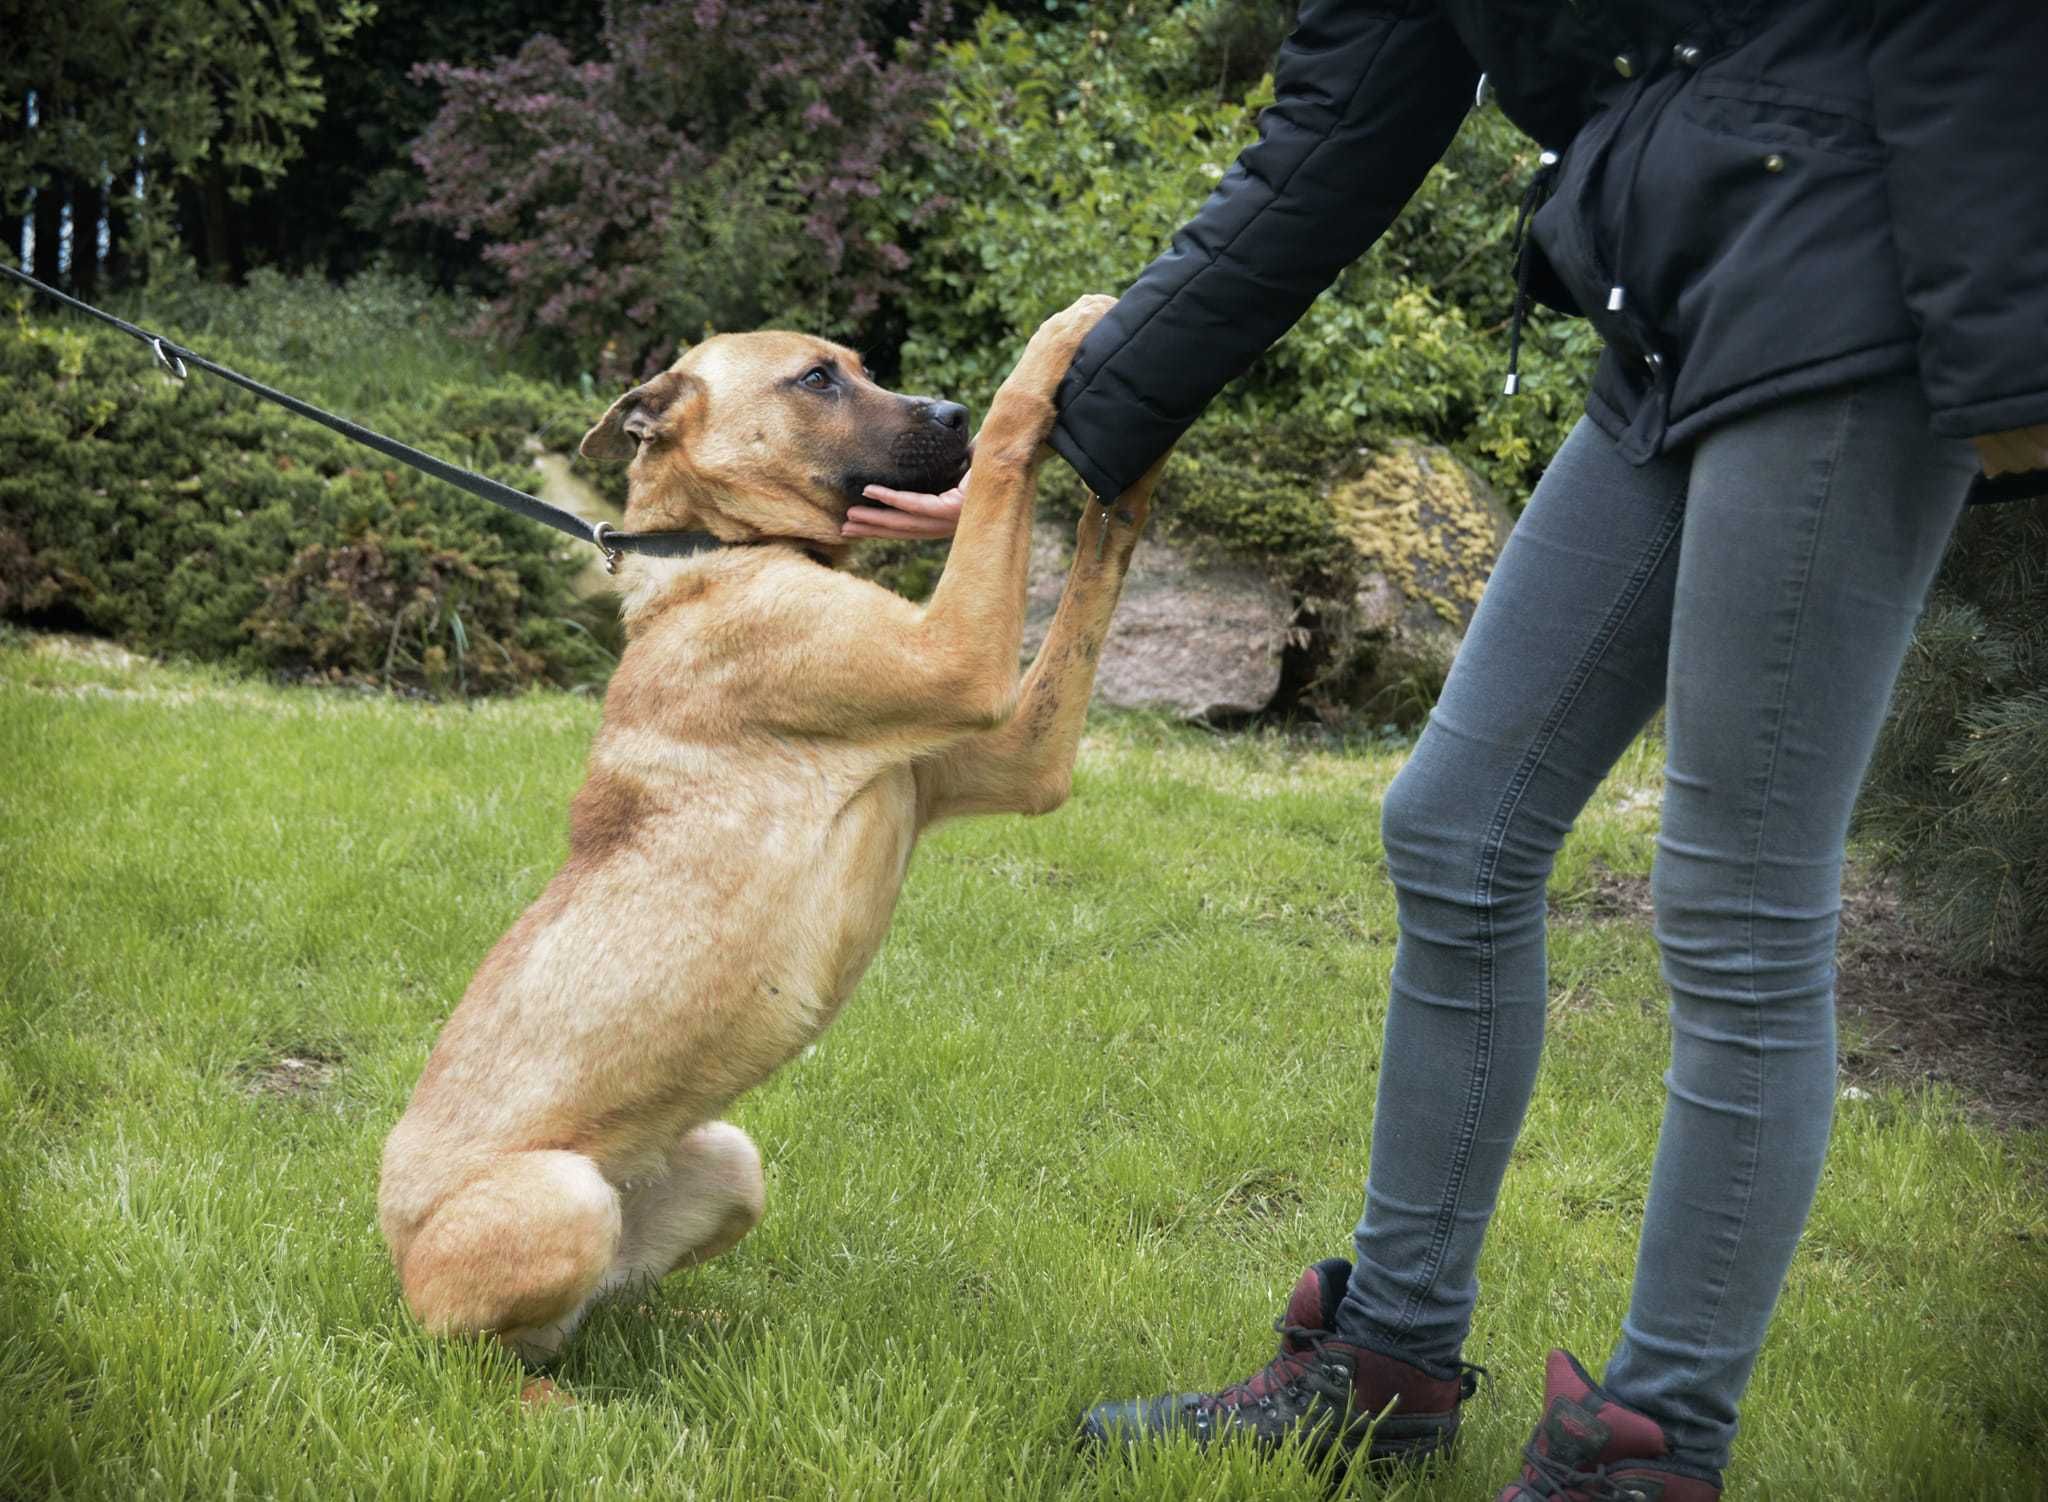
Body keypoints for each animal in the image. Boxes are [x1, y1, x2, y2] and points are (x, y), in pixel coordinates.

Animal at [376, 293, 1163, 1360]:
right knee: (480, 1354)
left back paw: (685, 1330)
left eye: (859, 367)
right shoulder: (954, 655)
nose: (948, 411)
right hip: (560, 1200)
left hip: (729, 1163)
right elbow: (1010, 452)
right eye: (816, 379)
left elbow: (1089, 577)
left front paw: (1134, 478)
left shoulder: (1016, 758)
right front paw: (1050, 349)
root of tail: (392, 1262)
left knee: (602, 1302)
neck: (721, 552)